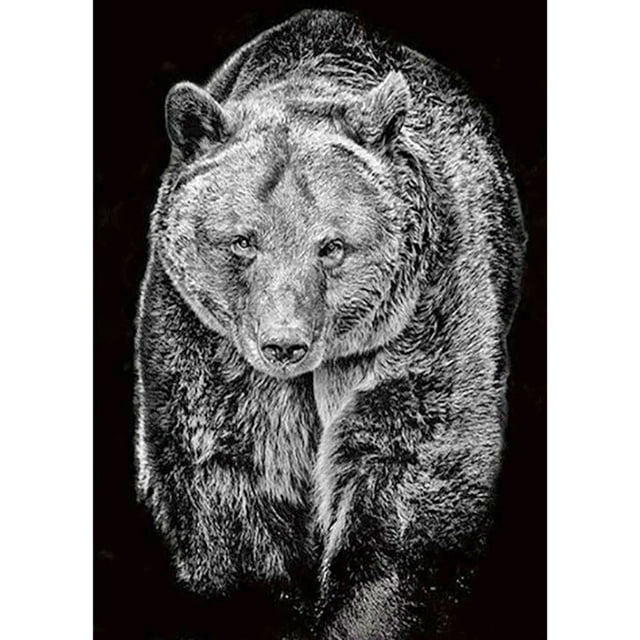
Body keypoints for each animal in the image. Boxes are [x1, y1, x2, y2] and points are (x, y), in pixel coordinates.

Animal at [135, 9, 526, 639]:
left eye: (332, 246)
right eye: (243, 241)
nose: (284, 344)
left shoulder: (424, 316)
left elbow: (410, 475)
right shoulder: (204, 338)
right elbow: (225, 480)